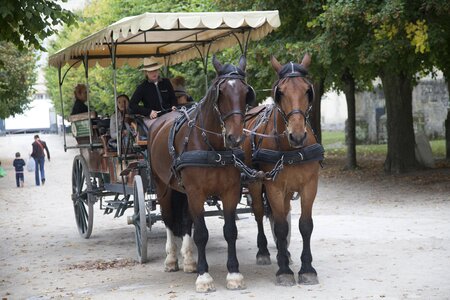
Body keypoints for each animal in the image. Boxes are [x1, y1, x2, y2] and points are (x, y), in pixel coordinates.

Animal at [148, 56, 253, 292]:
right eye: (220, 92)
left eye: (245, 93)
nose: (235, 137)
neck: (213, 146)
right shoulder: (196, 192)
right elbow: (202, 234)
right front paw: (204, 277)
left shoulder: (230, 191)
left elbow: (230, 230)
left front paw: (234, 274)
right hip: (162, 187)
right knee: (168, 220)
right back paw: (171, 260)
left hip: (182, 191)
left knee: (186, 221)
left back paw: (188, 261)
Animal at [243, 54, 324, 286]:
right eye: (280, 93)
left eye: (308, 90)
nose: (297, 136)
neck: (291, 149)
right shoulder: (274, 186)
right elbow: (279, 226)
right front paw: (284, 271)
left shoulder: (309, 185)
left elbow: (305, 225)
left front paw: (307, 269)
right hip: (254, 182)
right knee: (259, 213)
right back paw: (264, 251)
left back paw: (284, 253)